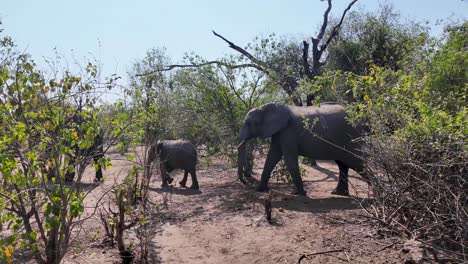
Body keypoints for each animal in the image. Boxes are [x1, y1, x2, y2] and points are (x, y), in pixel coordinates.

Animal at [239, 103, 368, 196]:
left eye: (248, 123)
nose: (245, 181)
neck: (265, 107)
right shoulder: (279, 132)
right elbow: (272, 157)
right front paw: (260, 190)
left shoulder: (288, 132)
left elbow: (289, 159)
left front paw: (299, 193)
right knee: (343, 165)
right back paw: (338, 193)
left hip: (351, 138)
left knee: (357, 163)